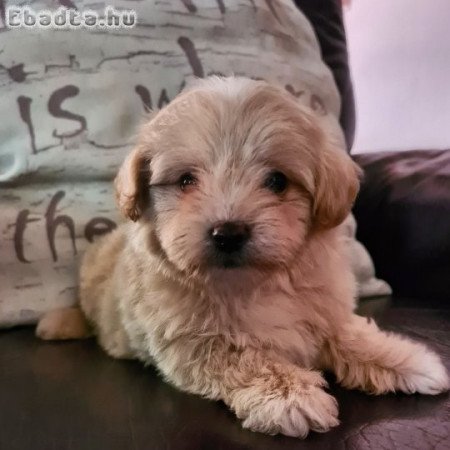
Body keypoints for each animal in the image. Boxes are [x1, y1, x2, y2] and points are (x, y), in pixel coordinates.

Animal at [36, 76, 450, 436]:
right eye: (186, 180)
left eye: (278, 181)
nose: (228, 233)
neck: (250, 282)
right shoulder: (190, 342)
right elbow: (245, 357)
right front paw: (289, 395)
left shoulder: (324, 308)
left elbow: (350, 333)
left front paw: (405, 359)